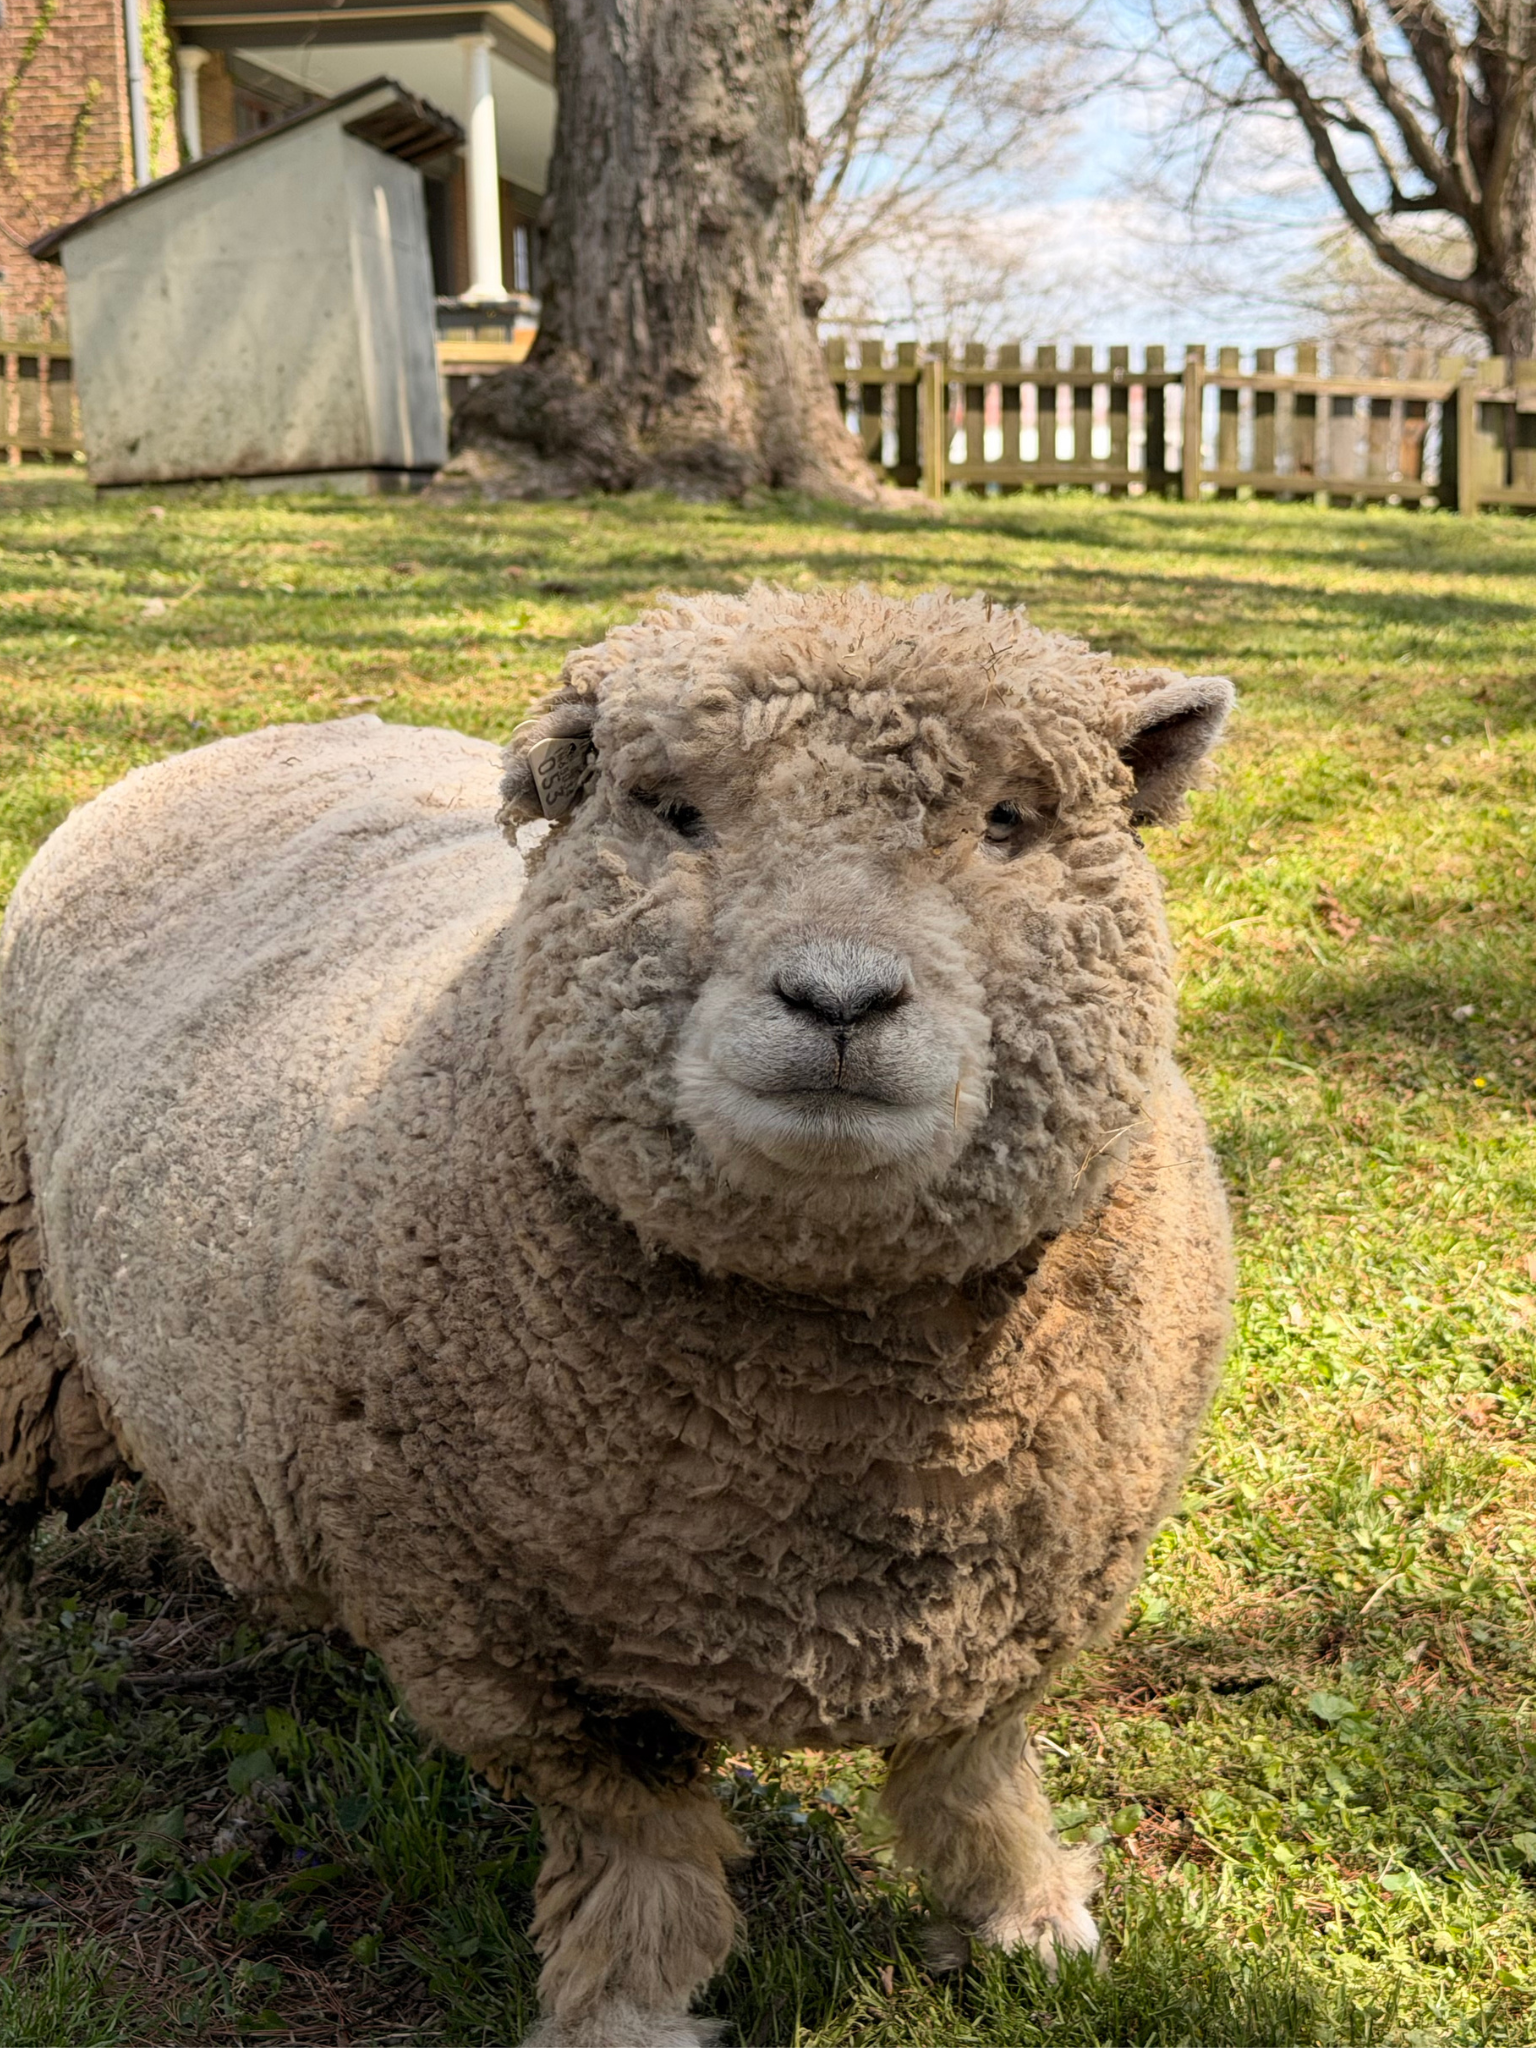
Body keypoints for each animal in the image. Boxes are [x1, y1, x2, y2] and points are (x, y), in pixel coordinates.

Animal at [0, 586, 1234, 2048]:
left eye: (1008, 822)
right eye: (679, 813)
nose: (839, 999)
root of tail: (252, 733)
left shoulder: (1018, 1598)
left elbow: (972, 1774)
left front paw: (1025, 1919)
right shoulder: (543, 1672)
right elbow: (641, 1870)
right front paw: (629, 2012)